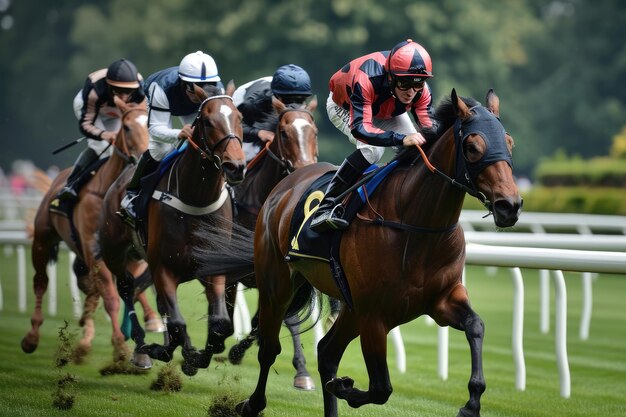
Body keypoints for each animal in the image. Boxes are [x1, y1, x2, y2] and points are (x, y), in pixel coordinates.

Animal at [21, 96, 154, 360]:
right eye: (126, 128)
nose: (142, 159)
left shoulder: (131, 255)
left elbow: (130, 288)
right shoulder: (95, 251)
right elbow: (112, 297)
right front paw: (120, 346)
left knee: (92, 291)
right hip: (43, 238)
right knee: (41, 281)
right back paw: (32, 337)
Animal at [98, 85, 246, 374]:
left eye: (239, 118)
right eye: (208, 121)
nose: (235, 166)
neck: (196, 200)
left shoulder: (213, 268)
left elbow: (221, 323)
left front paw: (195, 358)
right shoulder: (163, 267)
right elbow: (177, 323)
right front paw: (161, 350)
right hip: (115, 252)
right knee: (127, 288)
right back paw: (141, 345)